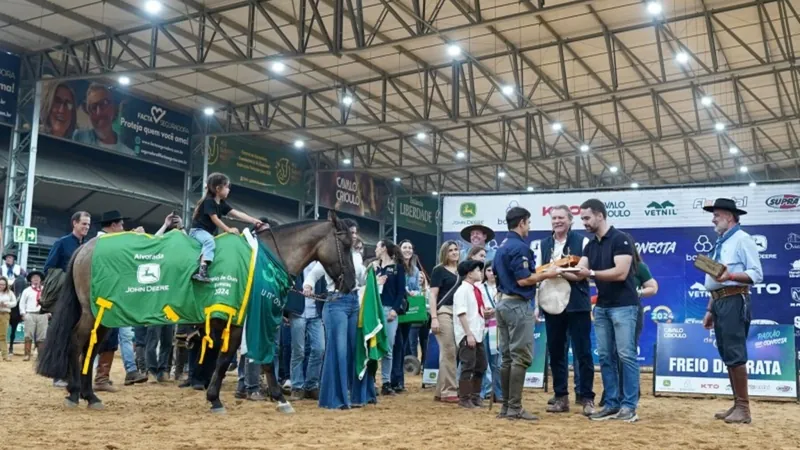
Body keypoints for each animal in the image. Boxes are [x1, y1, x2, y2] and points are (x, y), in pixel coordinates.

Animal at [36, 214, 356, 414]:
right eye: (347, 244)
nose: (351, 284)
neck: (263, 258)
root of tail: (87, 246)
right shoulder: (247, 320)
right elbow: (241, 358)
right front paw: (223, 399)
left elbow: (247, 358)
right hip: (95, 313)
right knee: (77, 343)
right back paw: (76, 392)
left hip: (105, 315)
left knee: (90, 347)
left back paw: (89, 395)